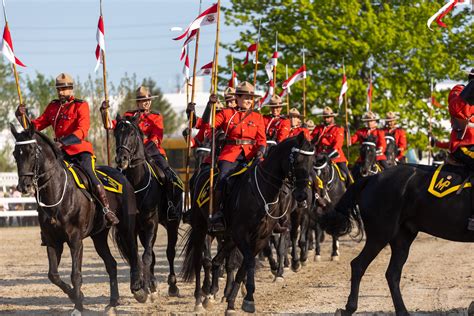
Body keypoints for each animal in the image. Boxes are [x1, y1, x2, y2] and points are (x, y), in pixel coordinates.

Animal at [11, 123, 144, 314]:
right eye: (16, 154)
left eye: (31, 151)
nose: (24, 186)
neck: (58, 191)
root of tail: (122, 176)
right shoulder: (52, 241)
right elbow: (53, 275)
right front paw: (77, 296)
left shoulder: (75, 241)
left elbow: (76, 275)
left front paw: (78, 306)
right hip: (98, 236)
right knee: (111, 264)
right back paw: (113, 302)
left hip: (126, 227)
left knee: (133, 255)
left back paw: (139, 289)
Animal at [114, 115, 182, 298]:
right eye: (116, 133)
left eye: (132, 134)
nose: (121, 159)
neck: (136, 184)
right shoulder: (132, 227)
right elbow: (136, 255)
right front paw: (139, 285)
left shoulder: (151, 223)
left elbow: (147, 256)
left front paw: (144, 285)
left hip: (172, 223)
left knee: (169, 252)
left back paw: (173, 285)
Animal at [181, 132, 314, 312]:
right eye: (298, 160)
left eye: (312, 162)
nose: (302, 195)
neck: (263, 192)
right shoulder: (241, 234)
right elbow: (246, 261)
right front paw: (246, 297)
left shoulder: (260, 237)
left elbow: (243, 266)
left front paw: (234, 300)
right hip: (201, 228)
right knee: (199, 260)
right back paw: (199, 299)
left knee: (217, 260)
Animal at [322, 163, 474, 314]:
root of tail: (372, 178)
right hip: (381, 235)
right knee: (358, 265)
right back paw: (350, 308)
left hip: (401, 239)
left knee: (392, 273)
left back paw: (402, 311)